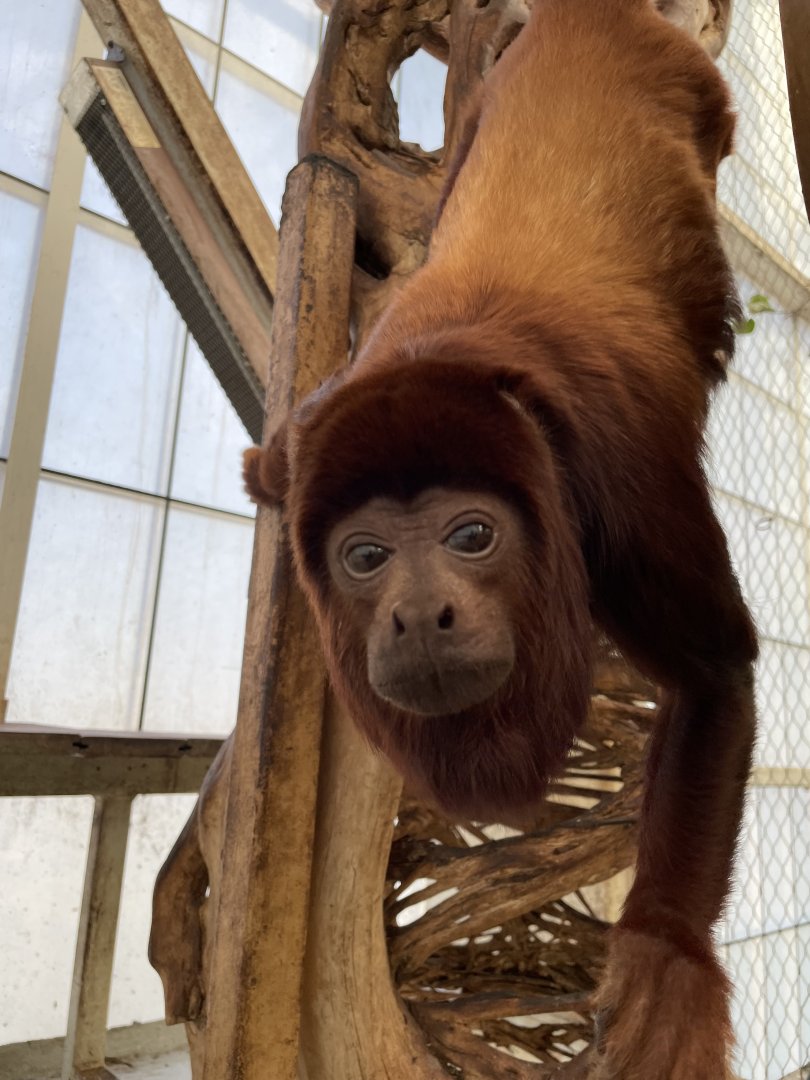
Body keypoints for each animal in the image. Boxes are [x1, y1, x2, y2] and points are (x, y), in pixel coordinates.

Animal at [244, 0, 758, 1075]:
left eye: (472, 535)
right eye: (366, 557)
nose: (419, 616)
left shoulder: (618, 477)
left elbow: (716, 673)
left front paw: (666, 953)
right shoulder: (315, 437)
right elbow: (276, 464)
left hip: (699, 88)